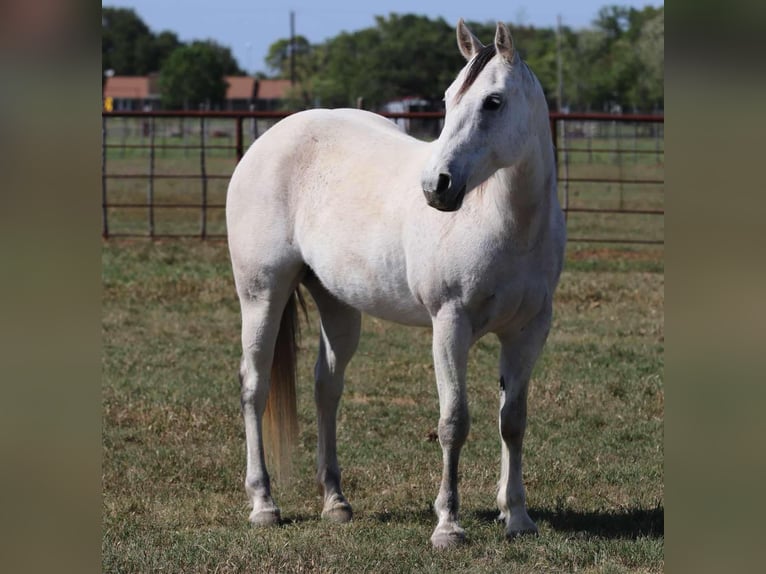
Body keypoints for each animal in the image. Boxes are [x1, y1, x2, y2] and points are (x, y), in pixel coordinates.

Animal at [226, 19, 565, 548]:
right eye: (447, 98)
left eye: (493, 102)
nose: (436, 187)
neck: (506, 222)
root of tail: (270, 139)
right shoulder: (450, 325)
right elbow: (453, 422)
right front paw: (448, 525)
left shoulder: (528, 331)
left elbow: (513, 421)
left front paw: (517, 516)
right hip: (261, 294)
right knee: (254, 387)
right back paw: (263, 503)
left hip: (338, 306)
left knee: (326, 387)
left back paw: (335, 501)